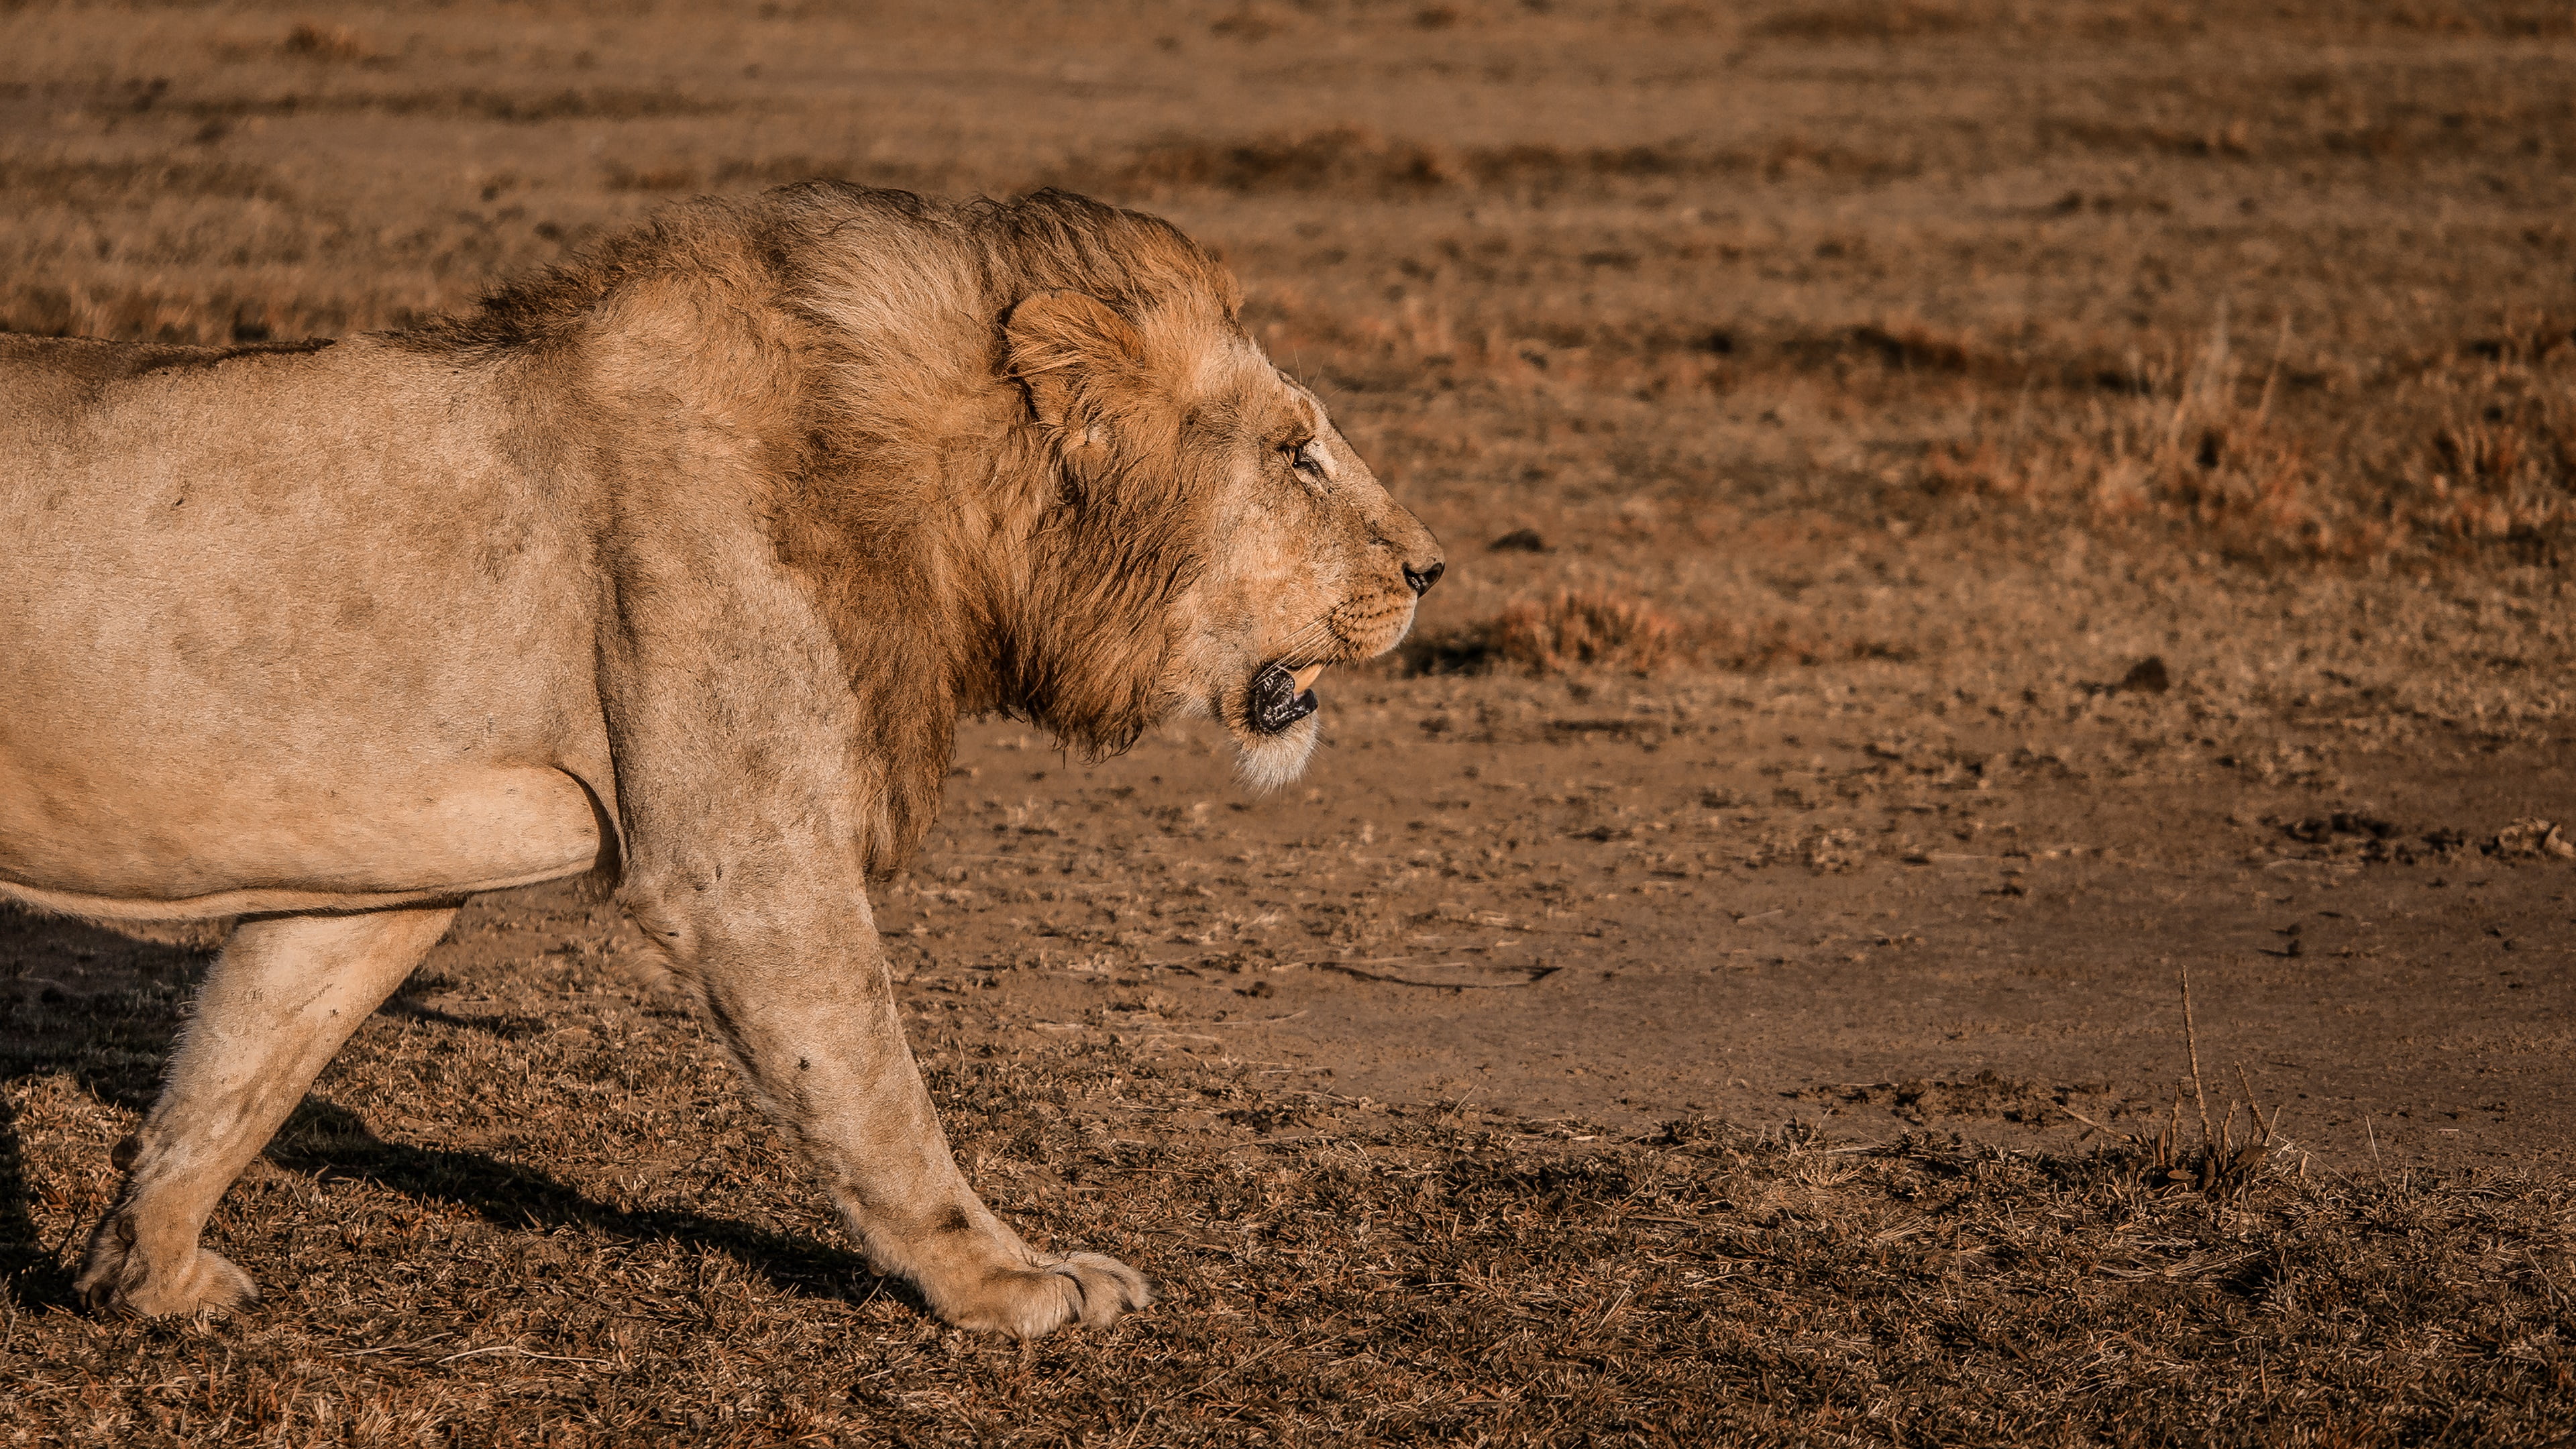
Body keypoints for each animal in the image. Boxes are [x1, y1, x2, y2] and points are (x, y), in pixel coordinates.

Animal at [0, 184, 1444, 1338]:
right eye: (1297, 454)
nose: (1432, 570)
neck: (928, 493)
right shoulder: (744, 863)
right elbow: (871, 1088)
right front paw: (1008, 1285)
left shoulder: (381, 866)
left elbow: (240, 1066)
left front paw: (145, 1277)